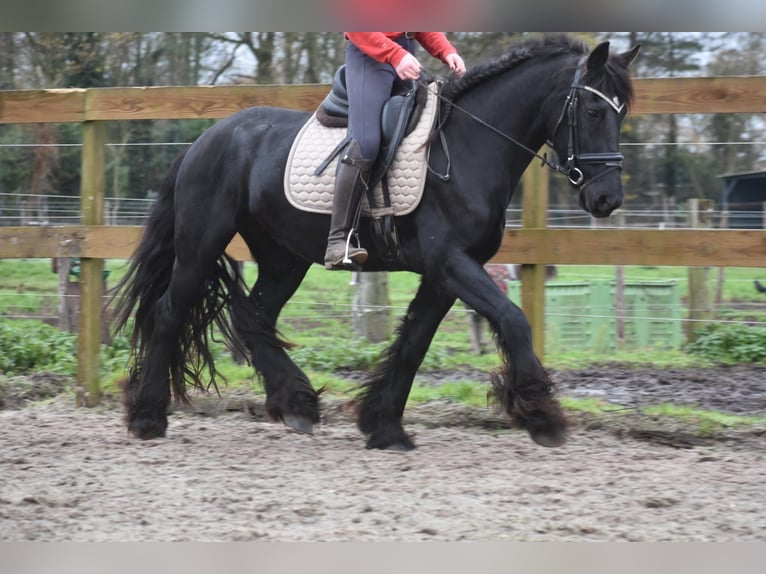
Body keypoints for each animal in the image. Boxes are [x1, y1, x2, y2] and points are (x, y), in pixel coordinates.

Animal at [112, 34, 640, 451]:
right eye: (594, 110)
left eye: (622, 113)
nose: (607, 198)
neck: (468, 147)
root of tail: (206, 140)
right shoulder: (452, 263)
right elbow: (513, 321)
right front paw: (541, 415)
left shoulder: (445, 274)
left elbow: (413, 343)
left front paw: (384, 426)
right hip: (201, 243)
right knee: (171, 312)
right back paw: (148, 418)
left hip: (284, 258)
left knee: (253, 315)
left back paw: (296, 403)